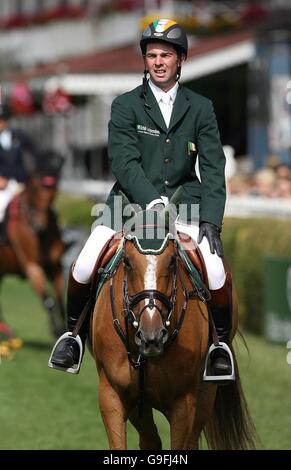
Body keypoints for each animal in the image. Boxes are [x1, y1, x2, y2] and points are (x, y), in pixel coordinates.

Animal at [0, 151, 66, 342]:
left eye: (55, 188)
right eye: (36, 187)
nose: (39, 225)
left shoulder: (56, 267)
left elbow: (59, 300)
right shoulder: (32, 267)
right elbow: (48, 301)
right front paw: (56, 331)